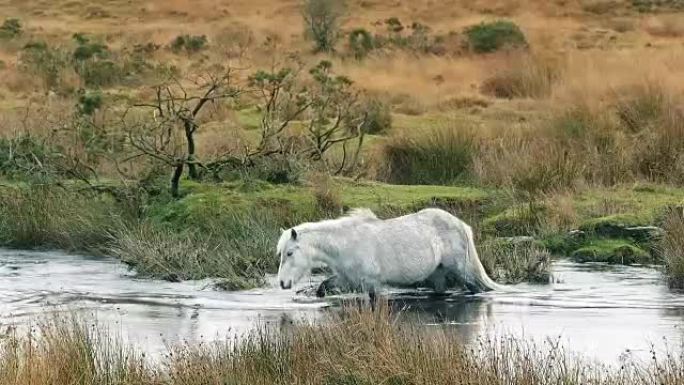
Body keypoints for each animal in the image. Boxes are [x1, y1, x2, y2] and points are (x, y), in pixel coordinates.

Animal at [274, 208, 502, 298]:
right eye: (282, 254)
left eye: (290, 253)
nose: (283, 283)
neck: (347, 244)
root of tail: (462, 225)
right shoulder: (346, 279)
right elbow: (323, 287)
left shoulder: (372, 283)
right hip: (438, 274)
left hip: (463, 271)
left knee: (477, 289)